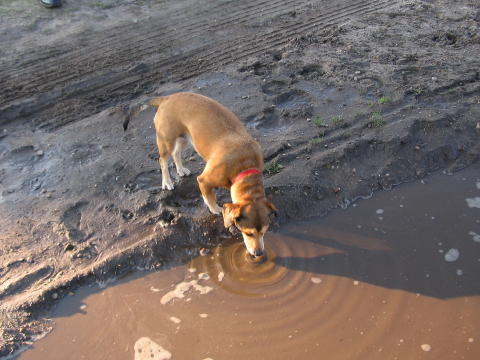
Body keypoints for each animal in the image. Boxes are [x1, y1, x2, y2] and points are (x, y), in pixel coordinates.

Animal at [124, 93, 278, 256]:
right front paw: (215, 209)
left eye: (264, 232)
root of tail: (167, 97)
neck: (245, 167)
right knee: (163, 160)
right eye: (248, 233)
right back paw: (167, 182)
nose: (259, 253)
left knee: (176, 153)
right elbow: (209, 197)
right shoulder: (204, 180)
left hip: (185, 137)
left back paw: (181, 170)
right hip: (166, 141)